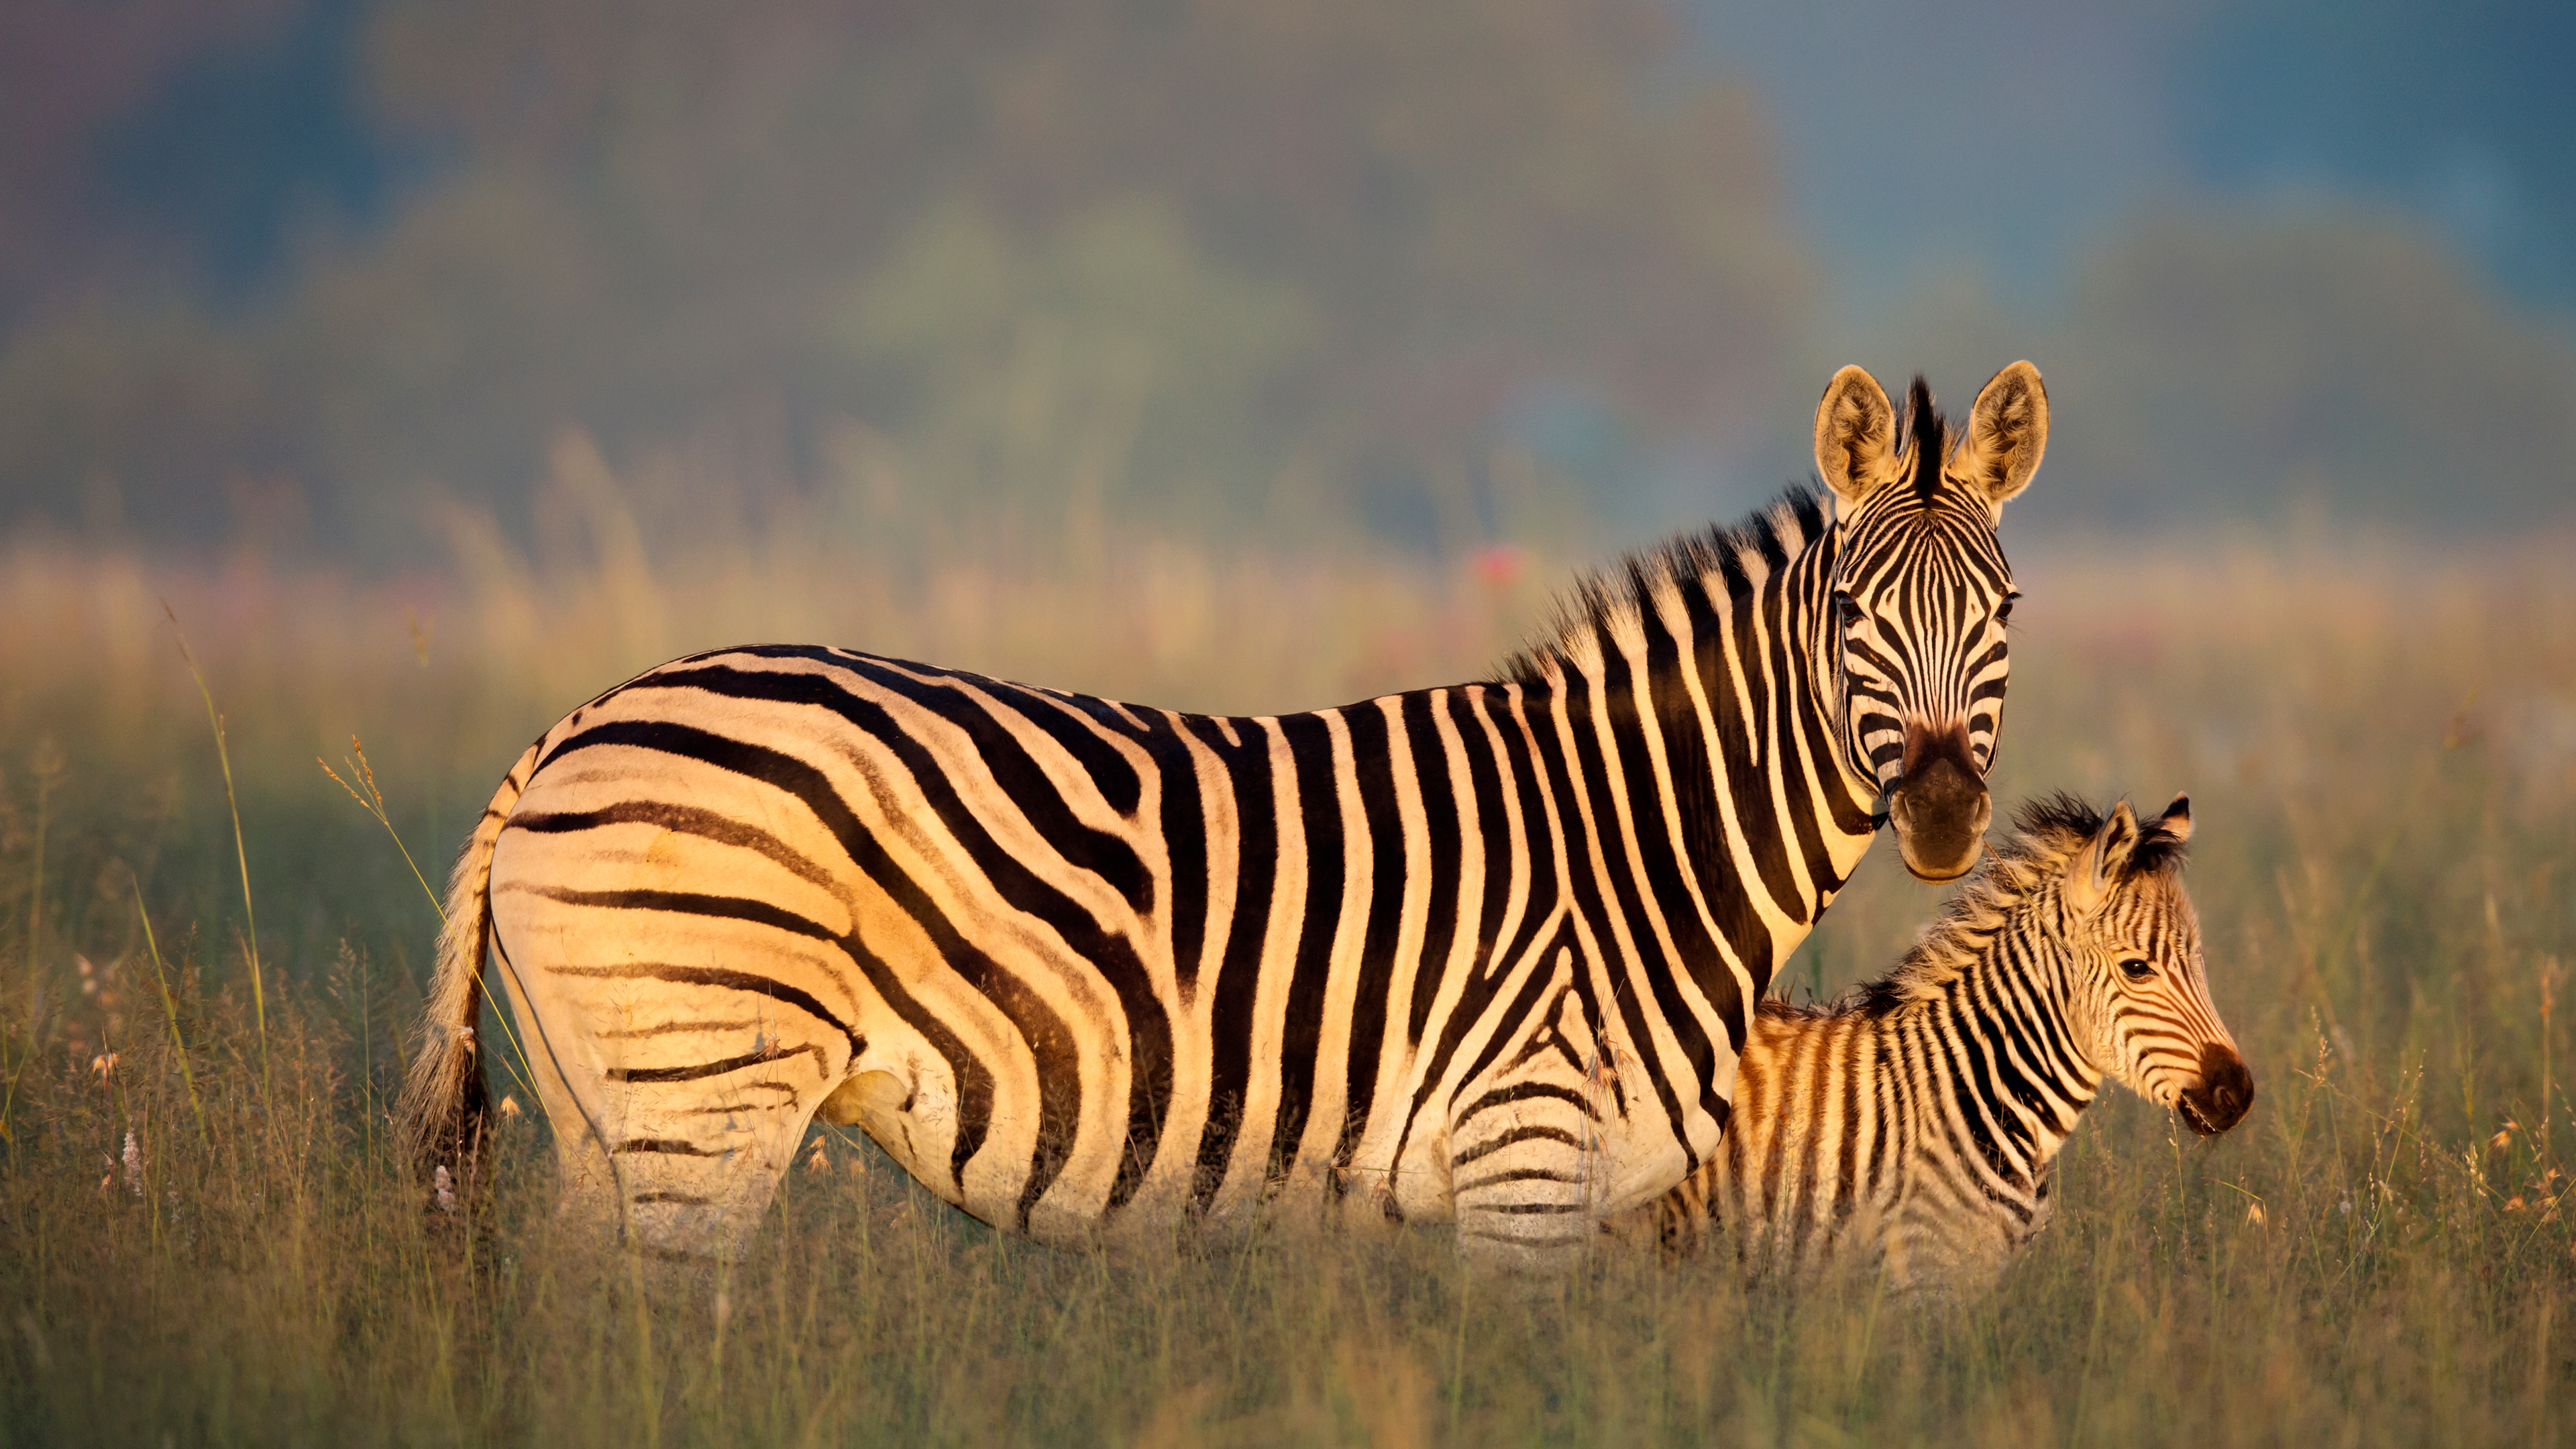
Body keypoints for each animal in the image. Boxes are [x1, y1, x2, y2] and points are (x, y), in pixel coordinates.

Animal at [396, 361, 2050, 1263]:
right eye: (1851, 615)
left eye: (2006, 610)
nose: (1945, 817)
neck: (1635, 841)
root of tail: (571, 724)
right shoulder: (1526, 1158)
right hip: (703, 1088)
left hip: (604, 1114)